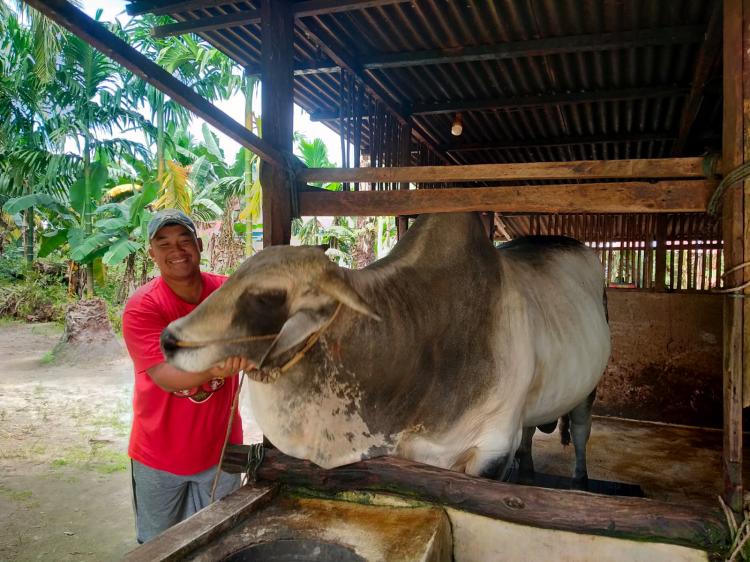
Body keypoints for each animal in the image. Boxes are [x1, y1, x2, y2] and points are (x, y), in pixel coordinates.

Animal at [163, 212, 612, 484]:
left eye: (266, 296)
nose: (169, 338)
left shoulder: (492, 449)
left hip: (589, 390)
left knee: (582, 431)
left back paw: (581, 480)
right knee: (533, 430)